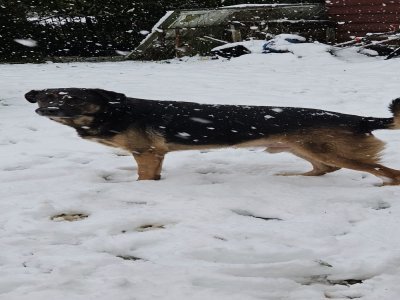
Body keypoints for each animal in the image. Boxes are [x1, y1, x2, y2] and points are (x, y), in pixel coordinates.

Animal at [24, 88, 400, 184]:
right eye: (45, 98)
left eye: (70, 98)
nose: (43, 110)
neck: (115, 111)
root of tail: (357, 118)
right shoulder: (155, 156)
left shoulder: (146, 154)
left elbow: (143, 178)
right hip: (305, 149)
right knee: (324, 169)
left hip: (327, 149)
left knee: (388, 172)